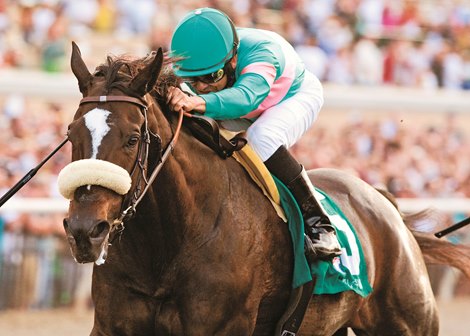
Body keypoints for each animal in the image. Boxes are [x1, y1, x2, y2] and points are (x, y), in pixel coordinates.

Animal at [57, 42, 470, 336]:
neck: (168, 246)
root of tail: (385, 205)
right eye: (71, 134)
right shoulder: (112, 325)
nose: (84, 231)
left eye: (132, 138)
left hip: (407, 321)